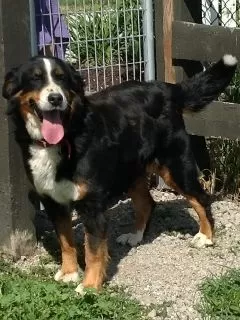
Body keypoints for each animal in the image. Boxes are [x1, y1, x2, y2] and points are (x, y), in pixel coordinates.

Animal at [1, 54, 237, 292]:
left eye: (62, 79)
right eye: (35, 78)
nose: (56, 98)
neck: (66, 136)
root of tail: (165, 87)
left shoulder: (92, 206)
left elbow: (93, 251)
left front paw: (89, 286)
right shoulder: (53, 201)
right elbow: (65, 241)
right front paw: (69, 273)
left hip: (174, 167)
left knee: (201, 198)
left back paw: (205, 237)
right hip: (130, 170)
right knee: (147, 203)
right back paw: (135, 235)